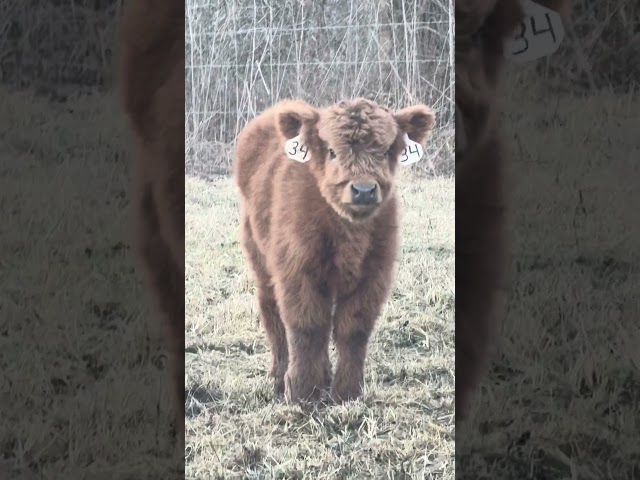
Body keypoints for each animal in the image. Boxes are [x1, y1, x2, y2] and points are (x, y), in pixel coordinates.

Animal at [234, 98, 436, 404]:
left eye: (386, 151)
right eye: (331, 151)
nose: (363, 190)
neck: (348, 233)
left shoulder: (374, 274)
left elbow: (352, 329)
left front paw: (347, 392)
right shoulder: (297, 270)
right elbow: (307, 327)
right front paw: (302, 392)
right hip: (260, 258)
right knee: (273, 314)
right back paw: (279, 376)